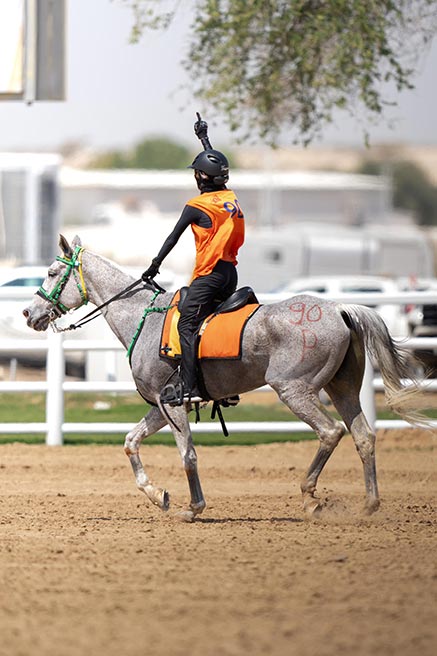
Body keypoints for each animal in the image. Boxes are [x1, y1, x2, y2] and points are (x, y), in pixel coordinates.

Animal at [23, 236, 426, 524]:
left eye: (52, 272)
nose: (29, 312)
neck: (144, 318)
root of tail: (340, 308)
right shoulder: (162, 405)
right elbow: (130, 442)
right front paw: (158, 494)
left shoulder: (173, 406)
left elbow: (187, 455)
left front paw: (192, 507)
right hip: (342, 389)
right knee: (363, 436)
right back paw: (369, 504)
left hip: (295, 391)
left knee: (330, 432)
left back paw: (311, 497)